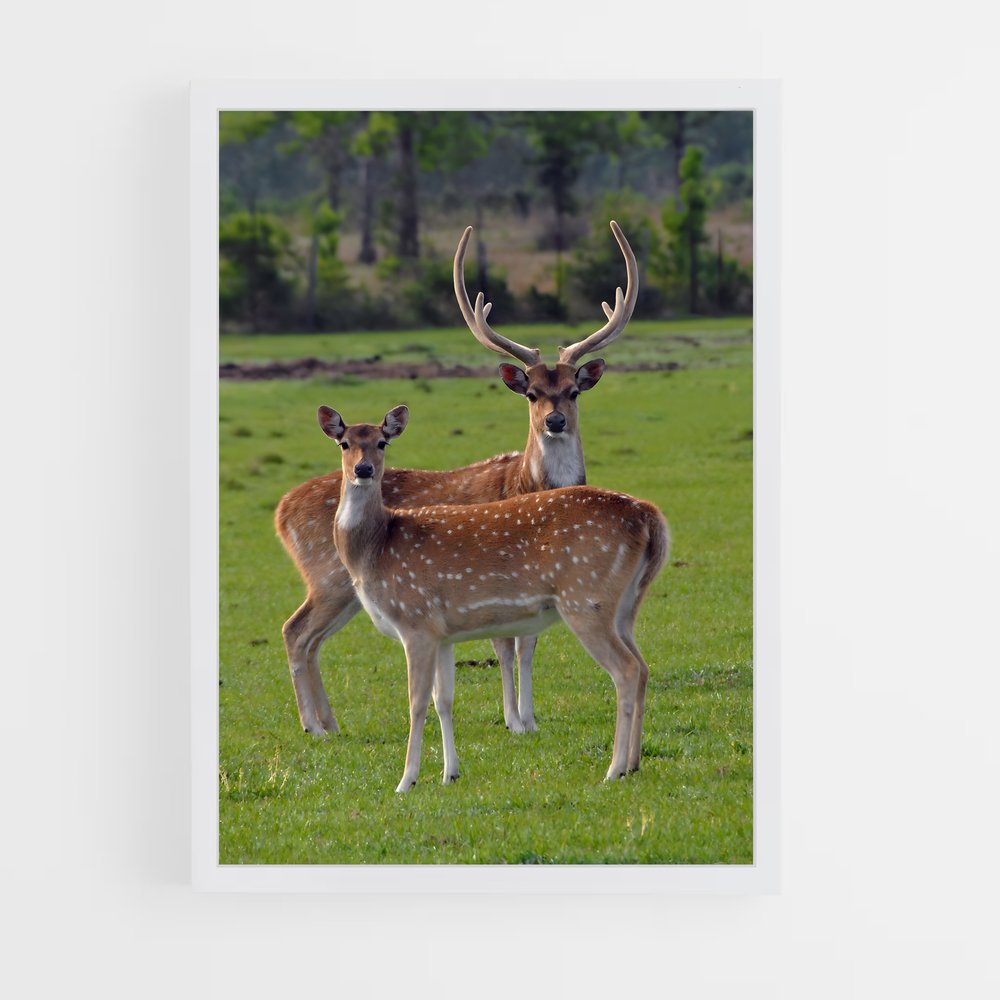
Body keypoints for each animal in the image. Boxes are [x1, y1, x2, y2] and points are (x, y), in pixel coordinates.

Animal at [275, 221, 637, 739]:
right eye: (531, 392)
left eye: (573, 391)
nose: (555, 421)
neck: (525, 484)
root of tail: (281, 511)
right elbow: (506, 644)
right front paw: (514, 720)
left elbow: (528, 642)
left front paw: (529, 718)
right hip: (327, 576)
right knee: (295, 630)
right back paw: (315, 726)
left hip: (345, 589)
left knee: (310, 637)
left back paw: (330, 723)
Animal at [319, 404, 669, 791]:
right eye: (344, 443)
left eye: (382, 442)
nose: (363, 470)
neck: (375, 549)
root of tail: (650, 516)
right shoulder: (442, 634)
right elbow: (444, 700)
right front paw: (449, 773)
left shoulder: (415, 621)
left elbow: (416, 703)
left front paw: (406, 781)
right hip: (624, 605)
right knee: (643, 666)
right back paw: (634, 763)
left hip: (585, 597)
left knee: (626, 669)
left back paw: (614, 769)